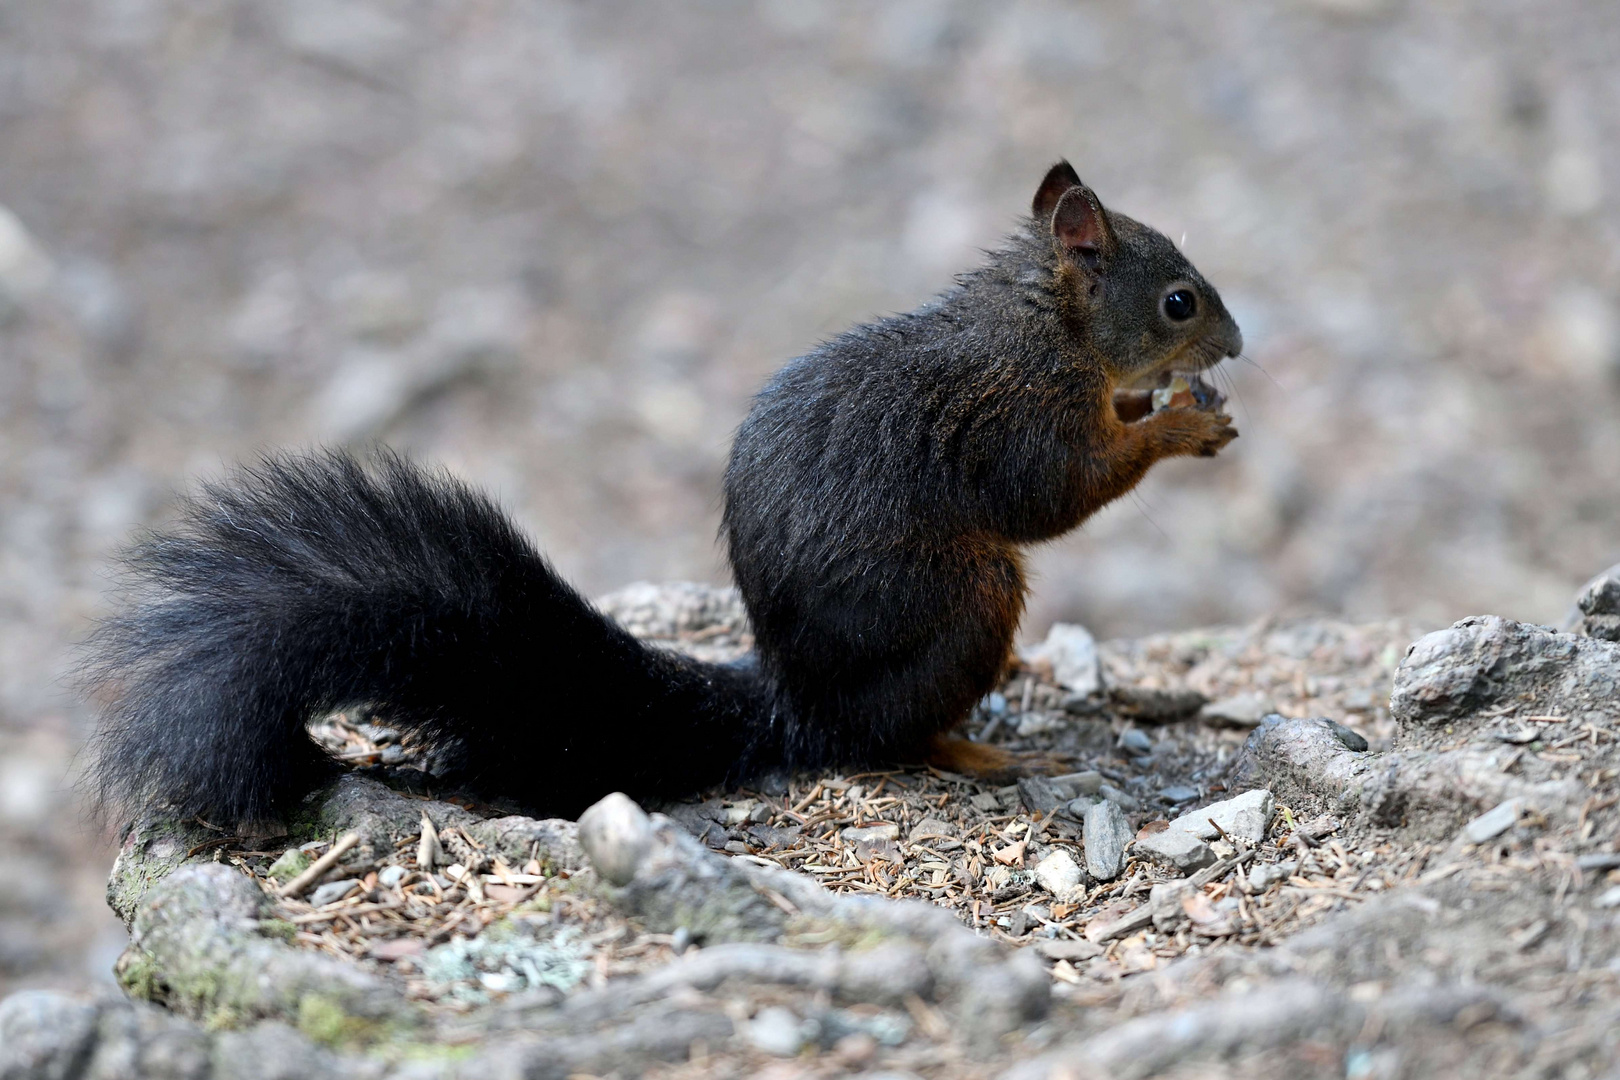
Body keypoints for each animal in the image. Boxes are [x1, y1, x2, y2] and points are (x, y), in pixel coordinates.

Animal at [85, 160, 1237, 822]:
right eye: (1180, 300)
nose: (1235, 344)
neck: (1051, 323)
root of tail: (796, 706)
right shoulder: (1017, 412)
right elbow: (1060, 492)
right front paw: (1182, 422)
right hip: (967, 600)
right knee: (893, 740)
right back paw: (982, 747)